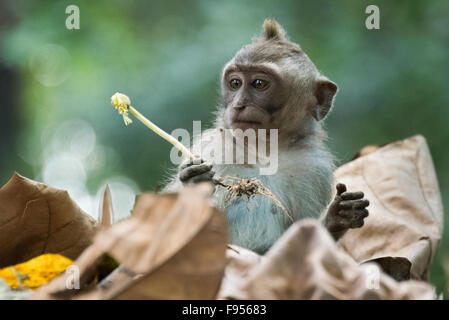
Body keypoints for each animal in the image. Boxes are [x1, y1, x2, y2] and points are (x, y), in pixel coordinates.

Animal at [164, 18, 368, 255]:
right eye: (235, 83)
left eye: (259, 84)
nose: (238, 105)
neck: (264, 151)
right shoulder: (211, 147)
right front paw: (194, 185)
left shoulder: (315, 169)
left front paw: (337, 218)